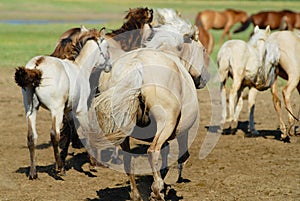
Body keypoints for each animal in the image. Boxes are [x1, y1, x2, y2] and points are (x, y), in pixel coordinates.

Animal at [14, 26, 110, 179]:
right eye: (107, 47)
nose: (109, 66)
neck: (80, 67)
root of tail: (37, 66)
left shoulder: (68, 111)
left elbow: (69, 132)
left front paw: (65, 162)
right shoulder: (80, 110)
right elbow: (85, 132)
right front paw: (92, 165)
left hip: (31, 109)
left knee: (31, 137)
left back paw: (34, 172)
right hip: (56, 110)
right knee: (54, 134)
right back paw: (58, 169)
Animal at [92, 41, 207, 200]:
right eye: (204, 50)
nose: (204, 79)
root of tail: (136, 64)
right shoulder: (182, 131)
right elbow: (181, 156)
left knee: (128, 160)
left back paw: (137, 195)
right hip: (166, 123)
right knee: (153, 151)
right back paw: (157, 190)